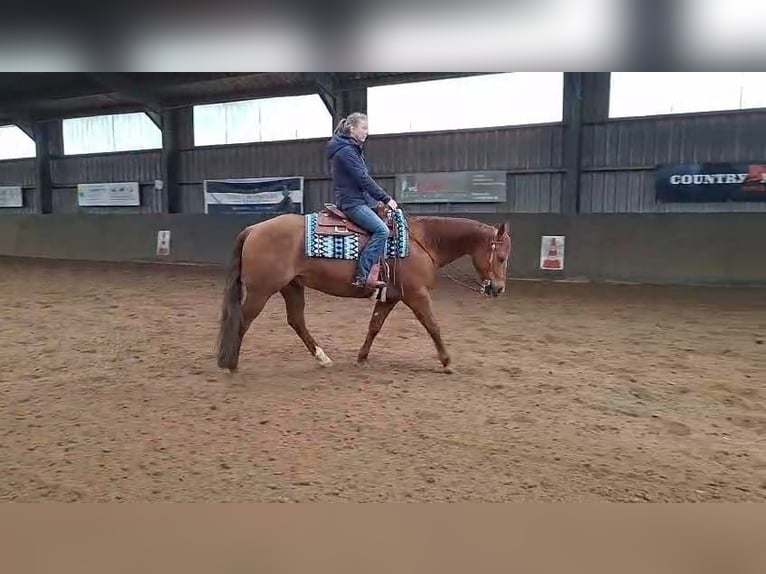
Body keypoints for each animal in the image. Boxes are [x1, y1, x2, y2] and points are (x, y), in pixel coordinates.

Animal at [215, 204, 512, 374]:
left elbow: (374, 325)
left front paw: (362, 357)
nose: (498, 289)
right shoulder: (416, 294)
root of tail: (254, 228)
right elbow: (432, 325)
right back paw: (231, 364)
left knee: (296, 321)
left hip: (291, 287)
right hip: (261, 291)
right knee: (243, 321)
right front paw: (447, 362)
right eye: (501, 257)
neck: (421, 242)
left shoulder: (391, 296)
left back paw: (323, 358)